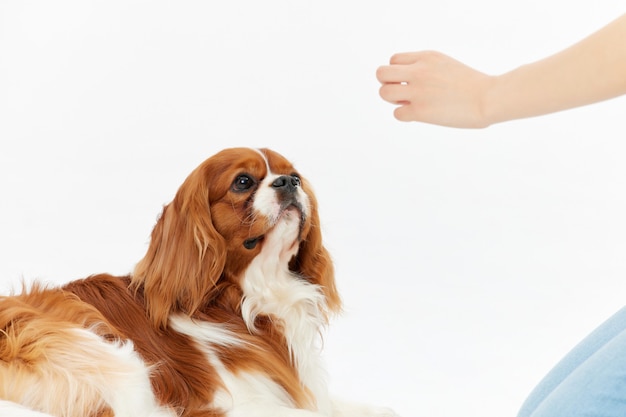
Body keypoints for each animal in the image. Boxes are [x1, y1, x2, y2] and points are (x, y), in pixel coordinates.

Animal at [0, 148, 398, 416]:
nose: (289, 182)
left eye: (295, 174)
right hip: (115, 362)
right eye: (243, 181)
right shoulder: (233, 404)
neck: (250, 297)